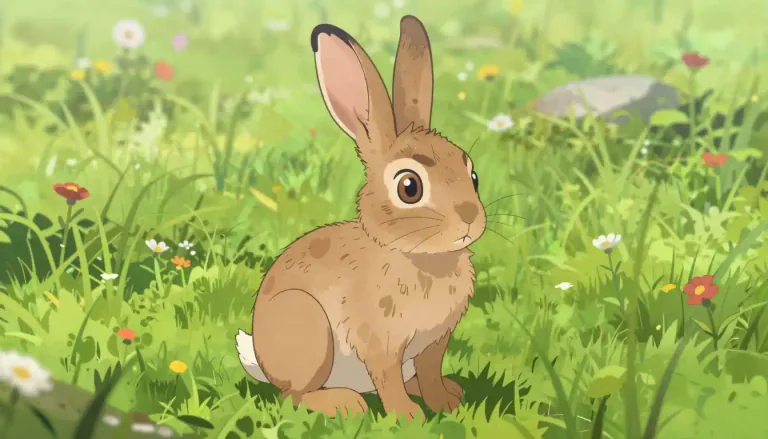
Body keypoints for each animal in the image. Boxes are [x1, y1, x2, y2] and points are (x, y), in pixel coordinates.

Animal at [235, 15, 486, 421]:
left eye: (473, 175)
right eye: (409, 187)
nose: (469, 220)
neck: (419, 257)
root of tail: (258, 356)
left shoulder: (433, 344)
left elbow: (431, 372)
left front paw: (444, 403)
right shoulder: (380, 343)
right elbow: (387, 379)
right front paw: (407, 417)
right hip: (309, 330)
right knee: (293, 395)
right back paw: (345, 404)